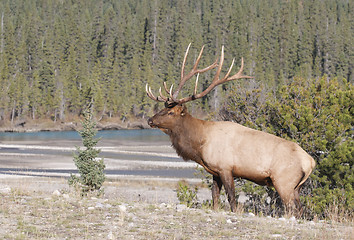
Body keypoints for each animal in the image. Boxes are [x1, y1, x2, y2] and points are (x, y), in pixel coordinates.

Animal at [145, 43, 316, 214]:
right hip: (296, 187)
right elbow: (215, 197)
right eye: (163, 108)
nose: (150, 120)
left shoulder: (225, 168)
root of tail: (310, 162)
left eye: (171, 112)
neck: (200, 144)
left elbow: (232, 199)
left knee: (293, 209)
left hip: (283, 182)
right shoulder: (215, 171)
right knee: (300, 209)